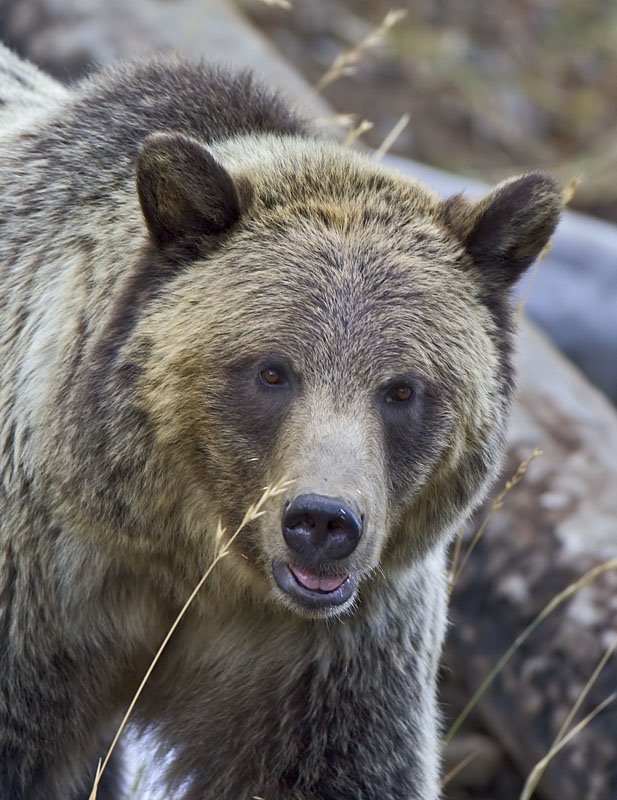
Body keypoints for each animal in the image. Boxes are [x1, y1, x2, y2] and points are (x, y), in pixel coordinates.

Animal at [0, 45, 560, 800]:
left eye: (403, 389)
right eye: (271, 370)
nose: (322, 522)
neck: (191, 562)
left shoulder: (326, 657)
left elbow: (337, 769)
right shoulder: (42, 596)